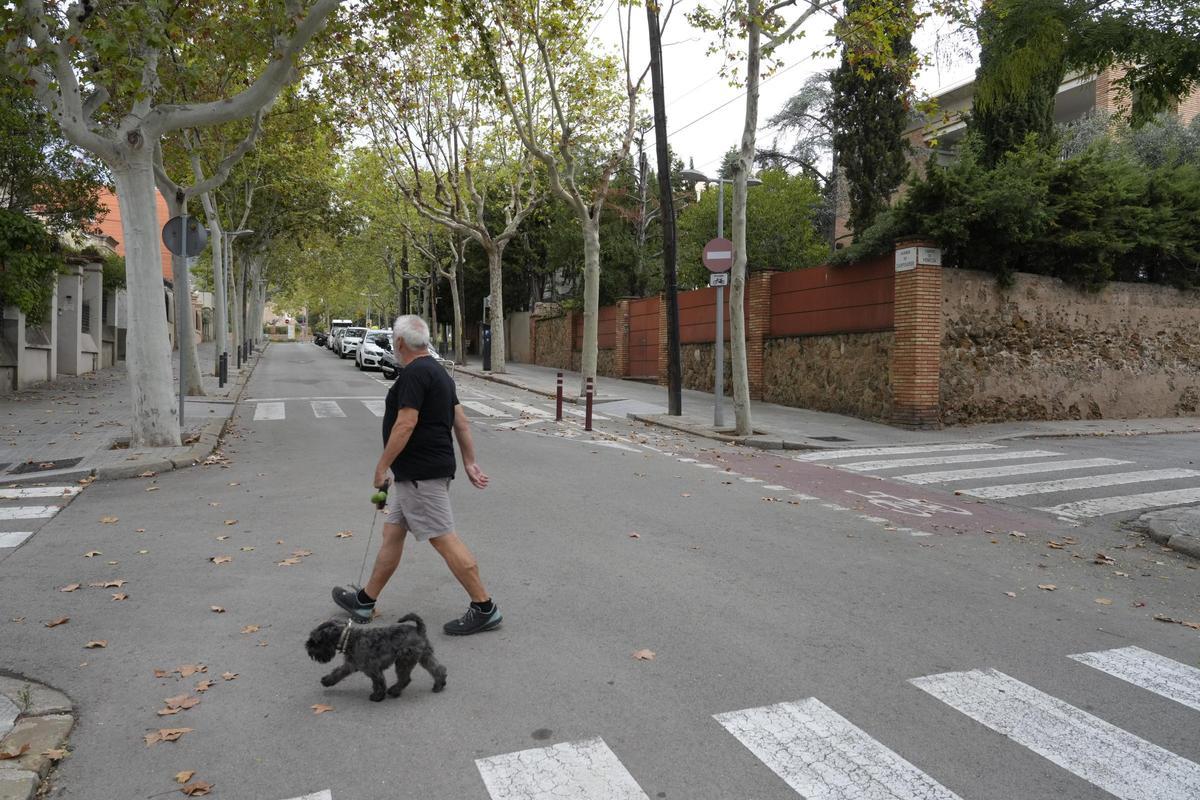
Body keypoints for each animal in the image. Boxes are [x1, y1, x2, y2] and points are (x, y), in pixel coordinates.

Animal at [307, 614, 448, 700]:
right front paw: (327, 680)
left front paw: (377, 696)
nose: (308, 648)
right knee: (438, 669)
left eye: (315, 641)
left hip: (403, 660)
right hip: (424, 656)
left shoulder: (373, 669)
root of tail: (418, 629)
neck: (350, 638)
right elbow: (338, 672)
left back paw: (394, 691)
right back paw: (439, 685)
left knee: (405, 679)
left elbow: (379, 682)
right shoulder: (350, 665)